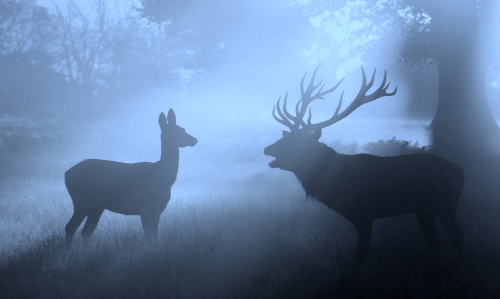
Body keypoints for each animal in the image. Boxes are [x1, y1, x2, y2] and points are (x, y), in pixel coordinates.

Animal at [66, 109, 197, 245]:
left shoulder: (154, 210)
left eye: (182, 128)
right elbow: (150, 237)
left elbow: (153, 236)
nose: (195, 140)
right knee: (71, 227)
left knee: (86, 231)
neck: (165, 177)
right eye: (177, 131)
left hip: (96, 206)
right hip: (82, 201)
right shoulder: (147, 208)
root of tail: (66, 174)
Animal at [266, 66, 464, 258]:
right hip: (424, 210)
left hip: (446, 204)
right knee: (434, 241)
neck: (334, 186)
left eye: (296, 142)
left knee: (457, 237)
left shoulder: (364, 214)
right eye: (286, 137)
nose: (267, 149)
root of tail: (461, 171)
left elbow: (363, 252)